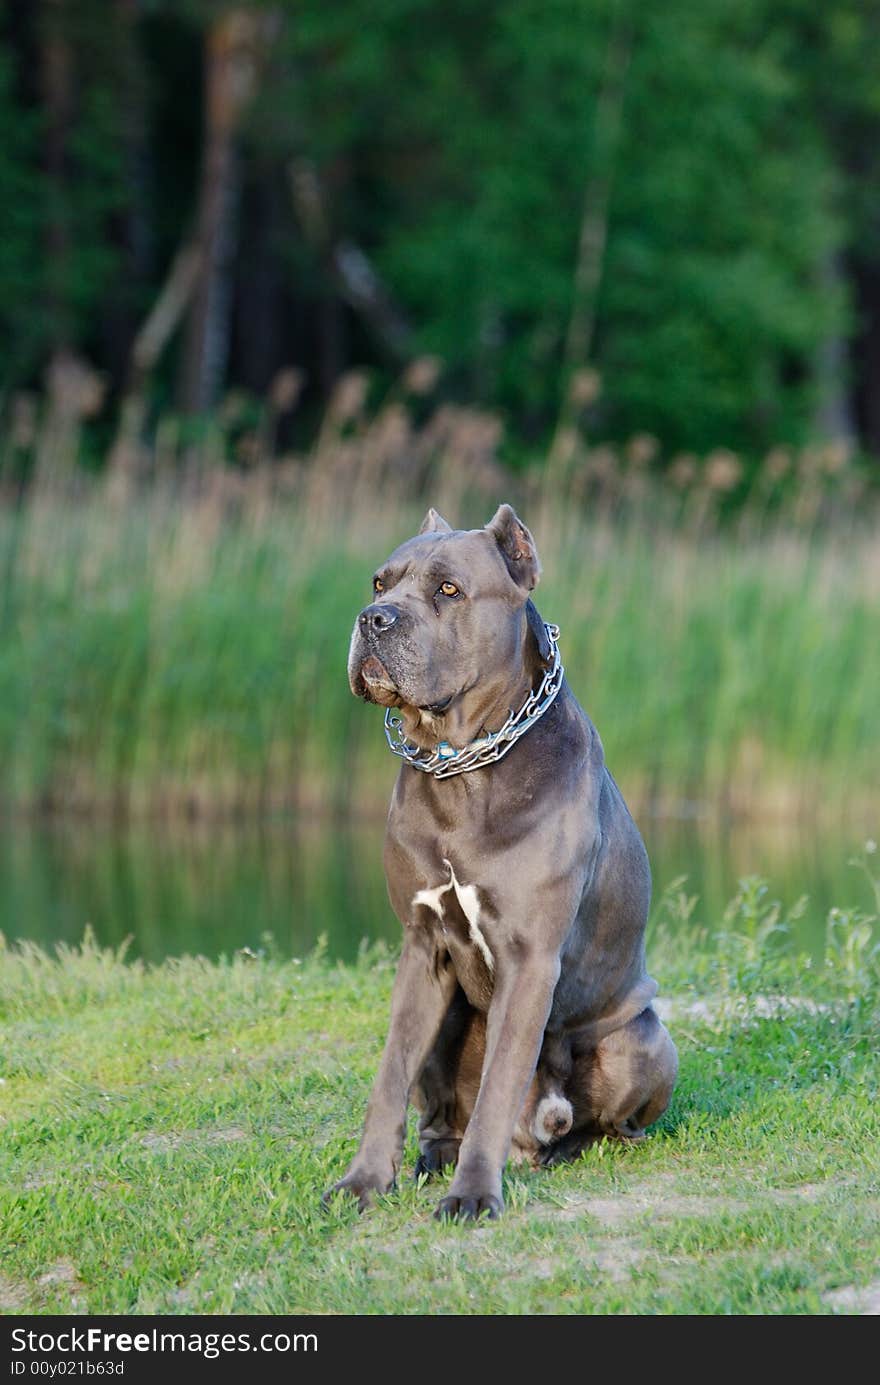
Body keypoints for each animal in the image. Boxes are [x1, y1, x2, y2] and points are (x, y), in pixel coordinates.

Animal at [327, 504, 679, 1218]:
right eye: (380, 583)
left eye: (449, 590)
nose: (373, 619)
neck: (463, 764)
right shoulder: (421, 947)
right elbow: (389, 1077)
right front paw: (364, 1182)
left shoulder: (530, 957)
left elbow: (497, 1086)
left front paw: (472, 1195)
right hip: (450, 1020)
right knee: (441, 1111)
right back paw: (436, 1158)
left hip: (646, 1039)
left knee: (609, 1122)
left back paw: (571, 1146)